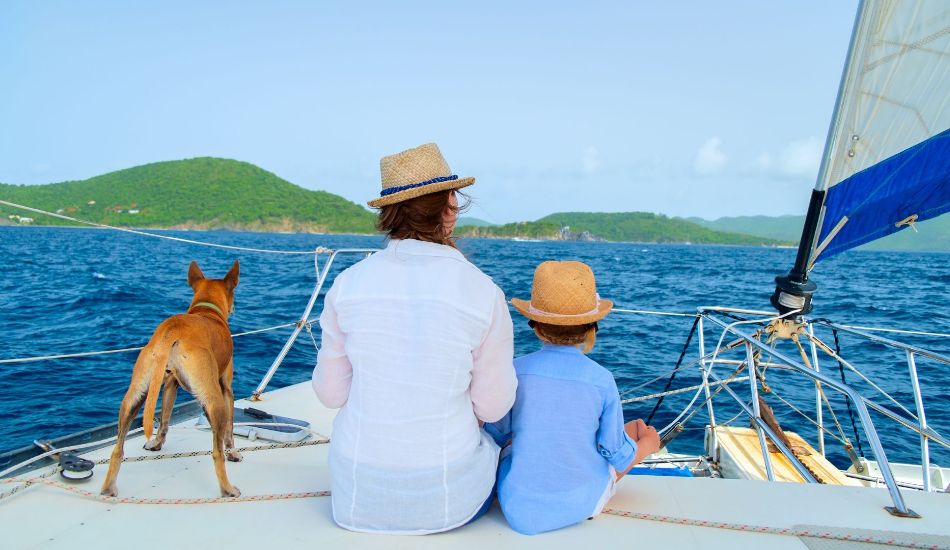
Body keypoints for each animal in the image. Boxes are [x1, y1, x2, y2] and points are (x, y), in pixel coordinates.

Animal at [99, 260, 242, 498]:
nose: (234, 308)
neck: (206, 310)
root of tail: (173, 329)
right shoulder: (226, 388)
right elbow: (229, 431)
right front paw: (234, 453)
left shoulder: (169, 384)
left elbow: (165, 419)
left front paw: (157, 443)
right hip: (214, 401)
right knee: (216, 452)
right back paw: (228, 488)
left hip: (136, 395)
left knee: (118, 449)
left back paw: (108, 488)